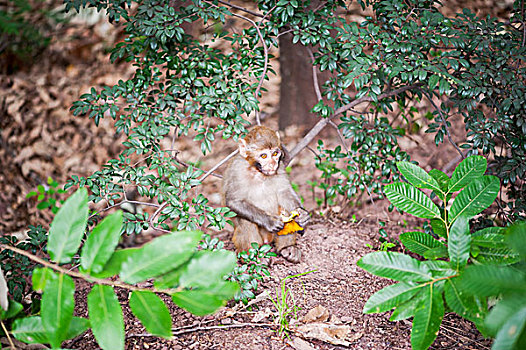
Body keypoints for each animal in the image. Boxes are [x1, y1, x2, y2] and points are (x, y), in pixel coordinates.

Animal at [222, 126, 312, 262]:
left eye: (275, 153)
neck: (258, 172)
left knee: (285, 213)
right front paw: (270, 221)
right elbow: (234, 201)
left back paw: (287, 248)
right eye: (263, 155)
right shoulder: (236, 169)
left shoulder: (280, 167)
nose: (272, 164)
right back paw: (252, 258)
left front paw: (301, 214)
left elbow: (284, 192)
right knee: (246, 221)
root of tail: (266, 241)